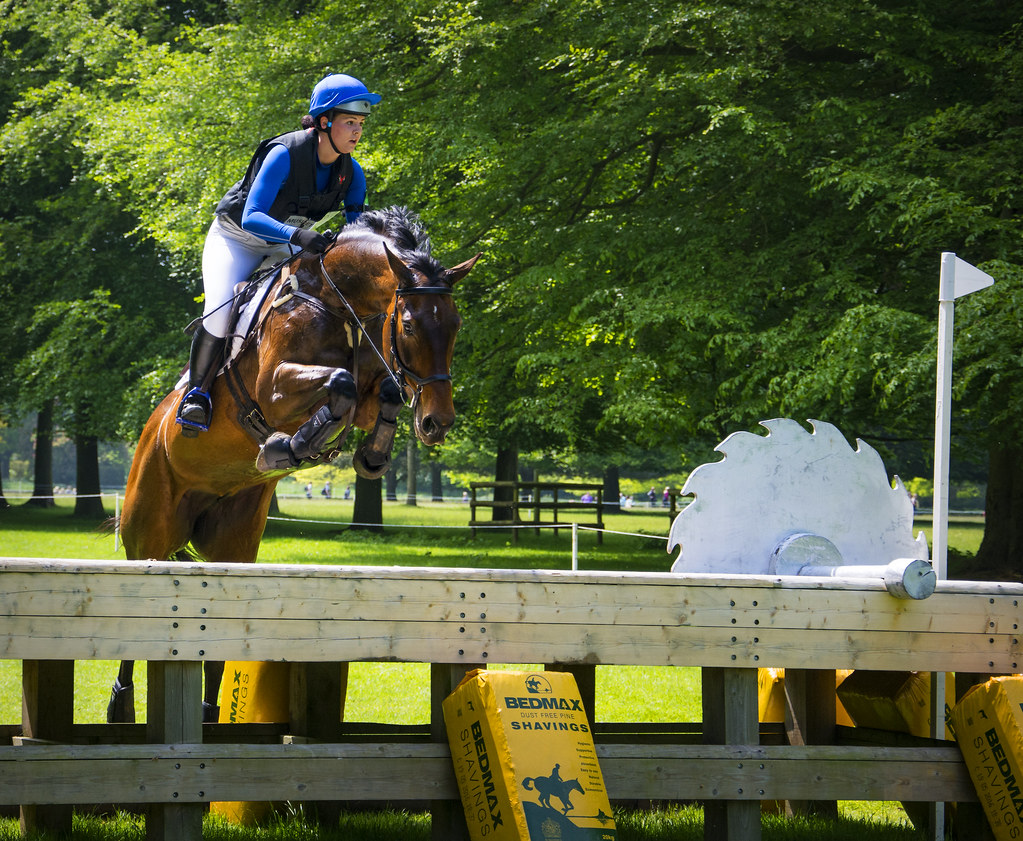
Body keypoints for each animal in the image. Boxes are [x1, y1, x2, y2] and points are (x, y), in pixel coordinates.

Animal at [107, 206, 480, 722]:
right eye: (408, 325)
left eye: (457, 325)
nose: (436, 422)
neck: (336, 303)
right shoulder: (274, 388)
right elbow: (340, 382)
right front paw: (288, 447)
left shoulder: (368, 389)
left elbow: (378, 390)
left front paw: (369, 457)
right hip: (149, 532)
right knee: (136, 618)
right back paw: (119, 707)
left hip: (233, 543)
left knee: (213, 638)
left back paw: (208, 713)